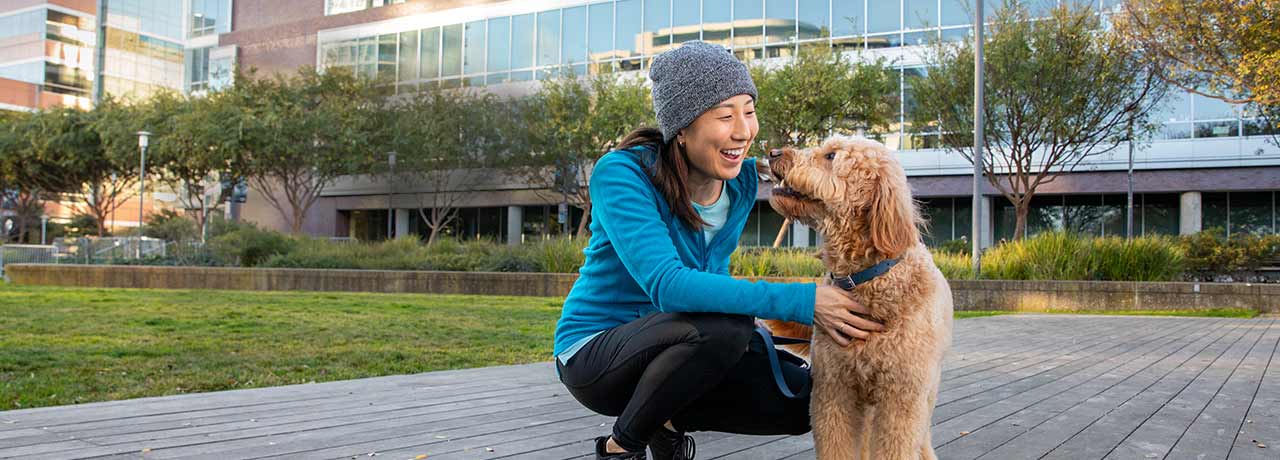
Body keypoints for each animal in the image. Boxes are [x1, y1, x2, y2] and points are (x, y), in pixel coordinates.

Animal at [757, 135, 952, 460]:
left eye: (831, 156)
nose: (772, 152)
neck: (865, 279)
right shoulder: (834, 391)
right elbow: (837, 444)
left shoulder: (902, 398)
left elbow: (897, 448)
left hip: (922, 395)